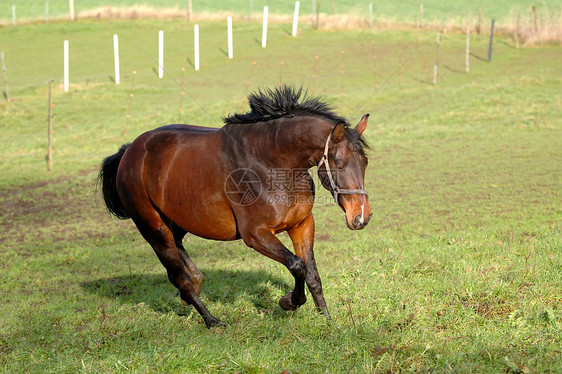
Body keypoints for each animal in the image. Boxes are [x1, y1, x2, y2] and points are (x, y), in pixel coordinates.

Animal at [98, 85, 370, 328]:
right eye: (339, 163)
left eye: (365, 162)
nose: (361, 217)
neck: (271, 163)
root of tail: (129, 151)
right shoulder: (256, 234)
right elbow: (297, 265)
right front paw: (288, 301)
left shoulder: (301, 224)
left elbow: (312, 274)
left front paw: (328, 322)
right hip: (153, 228)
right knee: (176, 275)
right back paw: (211, 320)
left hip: (177, 220)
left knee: (181, 257)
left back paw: (193, 287)